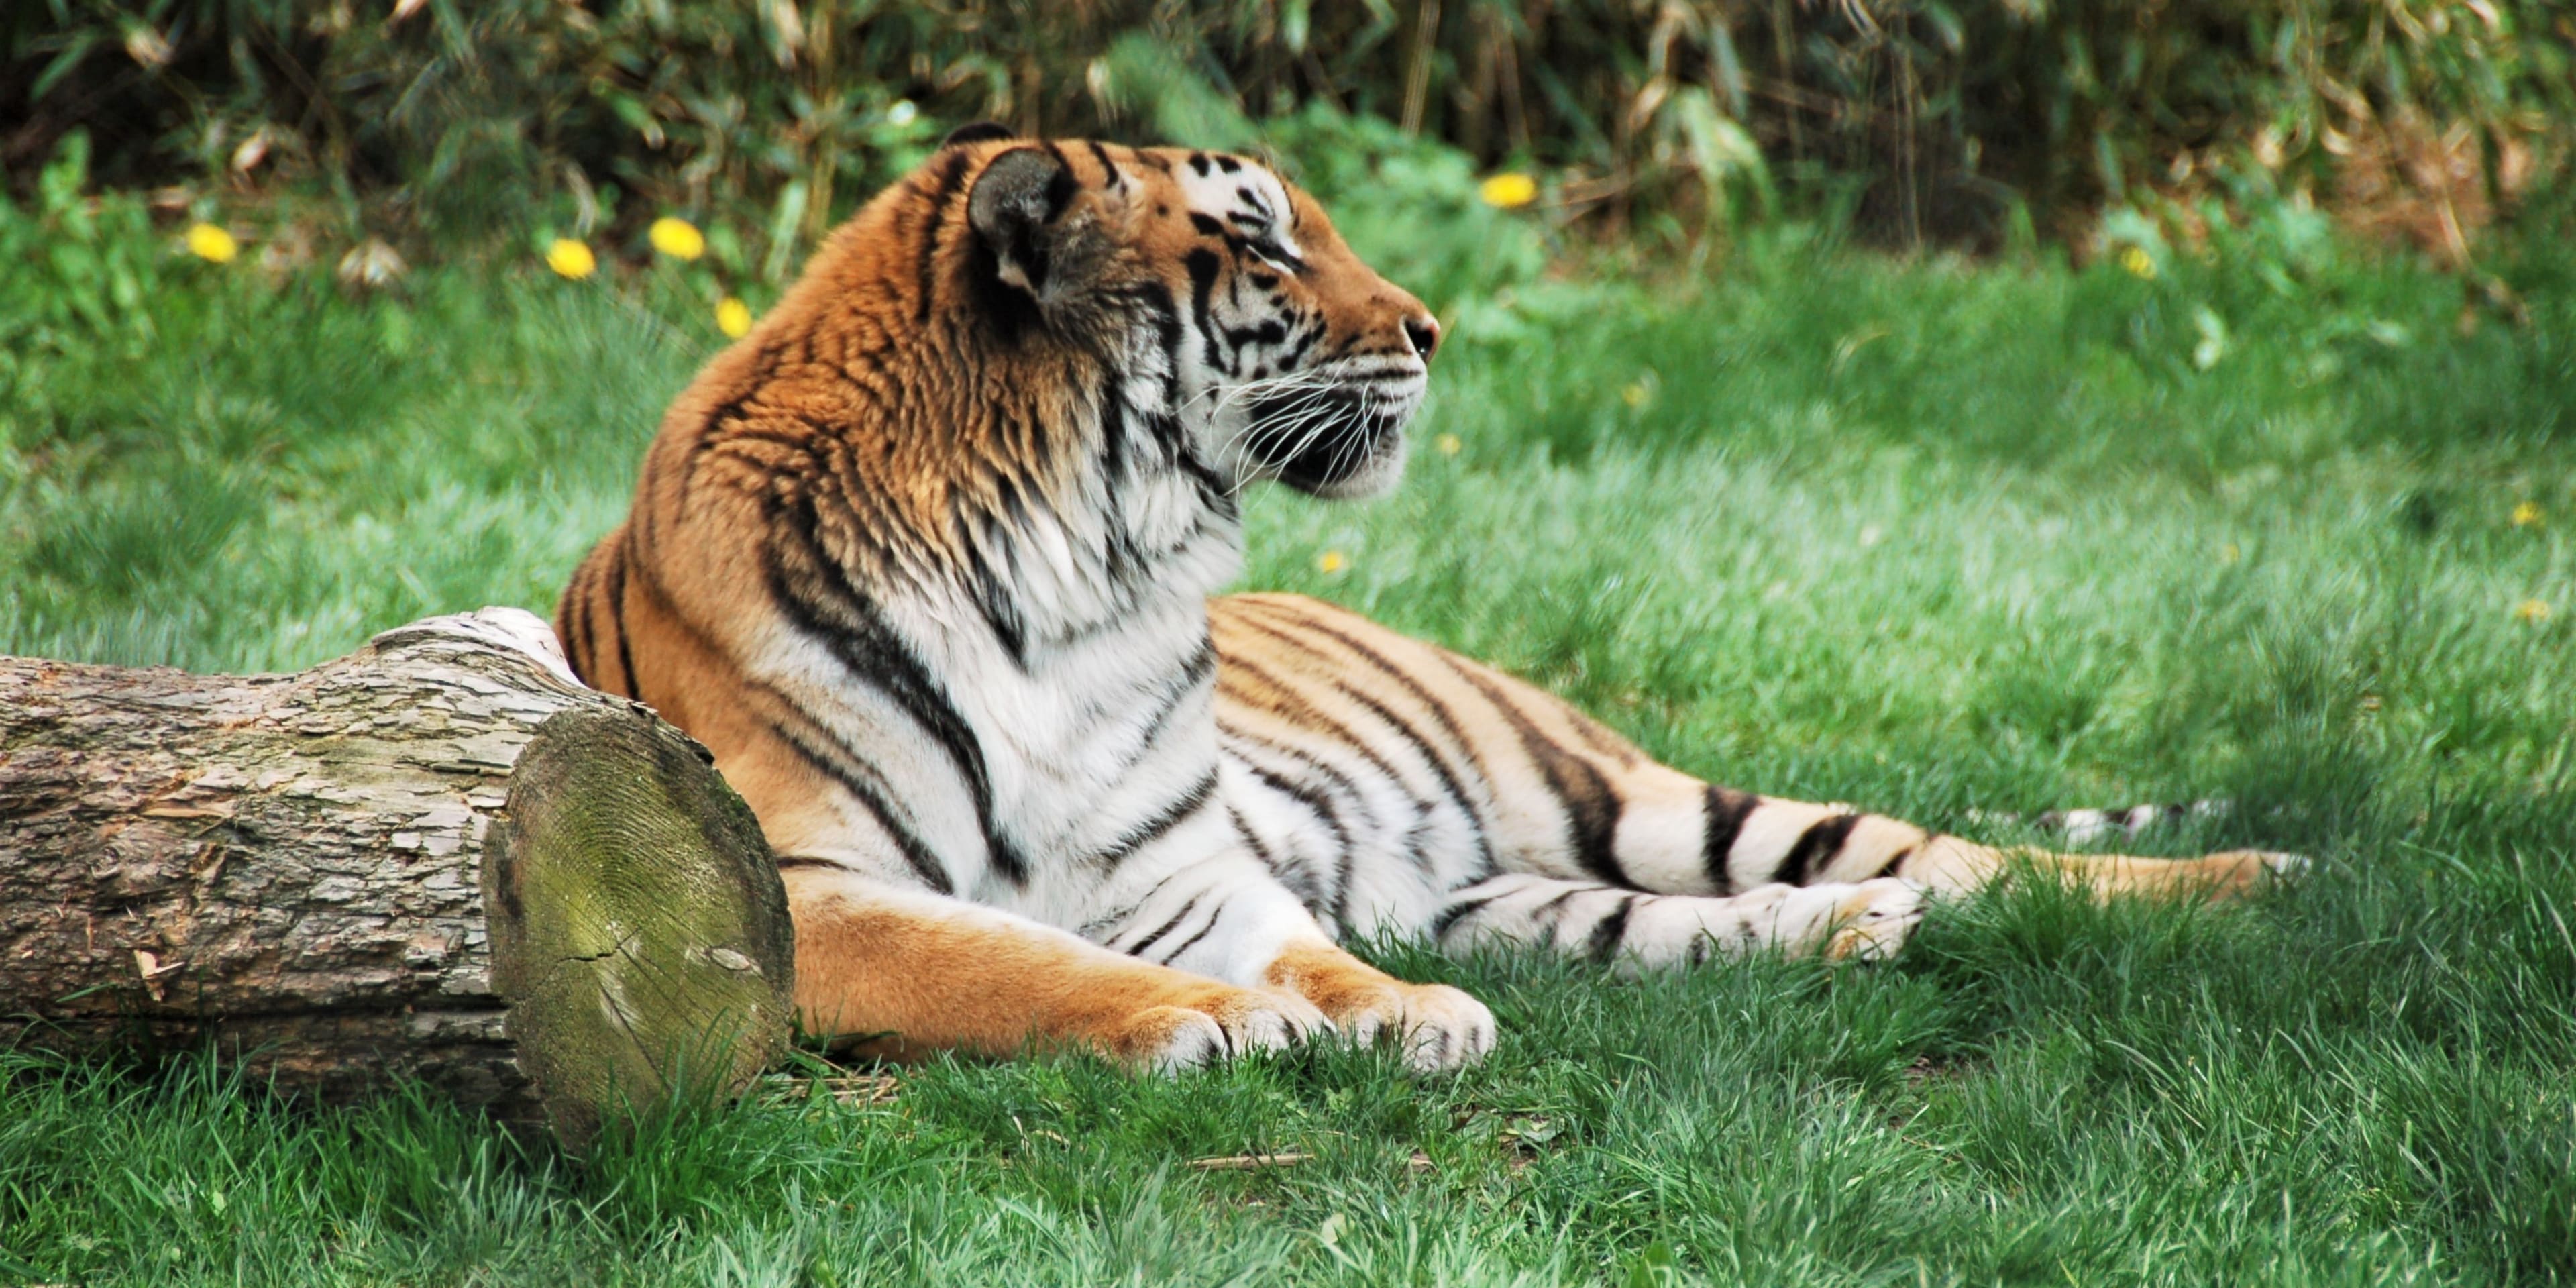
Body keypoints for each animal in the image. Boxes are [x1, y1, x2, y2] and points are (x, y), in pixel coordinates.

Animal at [555, 124, 2301, 1073]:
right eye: (1265, 249)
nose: (1432, 327)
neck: (1082, 569)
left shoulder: (1185, 863)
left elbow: (1302, 948)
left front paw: (1398, 1017)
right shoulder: (805, 886)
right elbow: (1003, 960)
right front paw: (1211, 1021)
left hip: (1625, 794)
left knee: (1974, 858)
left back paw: (2254, 878)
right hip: (1523, 889)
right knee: (1710, 921)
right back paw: (1855, 932)